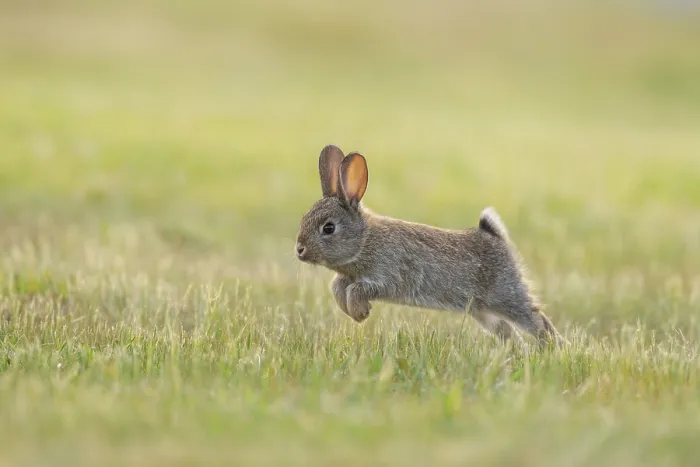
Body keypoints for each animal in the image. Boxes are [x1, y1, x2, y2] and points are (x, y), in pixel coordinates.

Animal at [295, 144, 563, 348]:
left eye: (328, 228)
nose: (299, 250)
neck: (365, 238)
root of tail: (494, 235)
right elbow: (338, 287)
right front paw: (355, 312)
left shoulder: (390, 274)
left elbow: (358, 289)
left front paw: (360, 312)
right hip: (483, 312)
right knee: (507, 331)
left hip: (506, 295)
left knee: (535, 319)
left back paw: (555, 349)